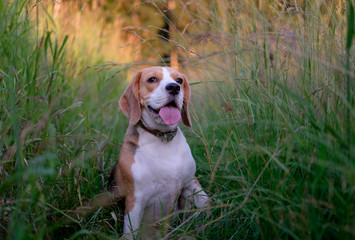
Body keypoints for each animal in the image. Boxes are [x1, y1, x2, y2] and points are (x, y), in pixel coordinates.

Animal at [108, 65, 209, 238]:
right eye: (152, 79)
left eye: (179, 80)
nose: (174, 87)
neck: (163, 138)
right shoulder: (136, 199)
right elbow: (130, 232)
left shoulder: (189, 182)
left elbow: (203, 200)